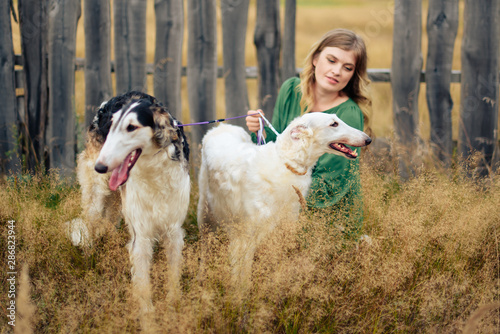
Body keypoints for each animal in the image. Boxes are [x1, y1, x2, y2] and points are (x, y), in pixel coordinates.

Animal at [68, 90, 189, 310]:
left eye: (131, 127)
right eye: (112, 125)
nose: (100, 166)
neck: (154, 173)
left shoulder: (174, 230)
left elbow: (173, 275)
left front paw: (173, 306)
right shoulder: (140, 234)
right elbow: (142, 282)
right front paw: (147, 314)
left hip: (115, 206)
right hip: (96, 197)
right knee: (89, 232)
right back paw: (90, 264)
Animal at [198, 112, 372, 288]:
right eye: (334, 124)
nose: (368, 139)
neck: (286, 163)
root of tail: (222, 126)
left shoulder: (285, 228)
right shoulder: (244, 238)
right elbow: (241, 279)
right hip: (205, 216)